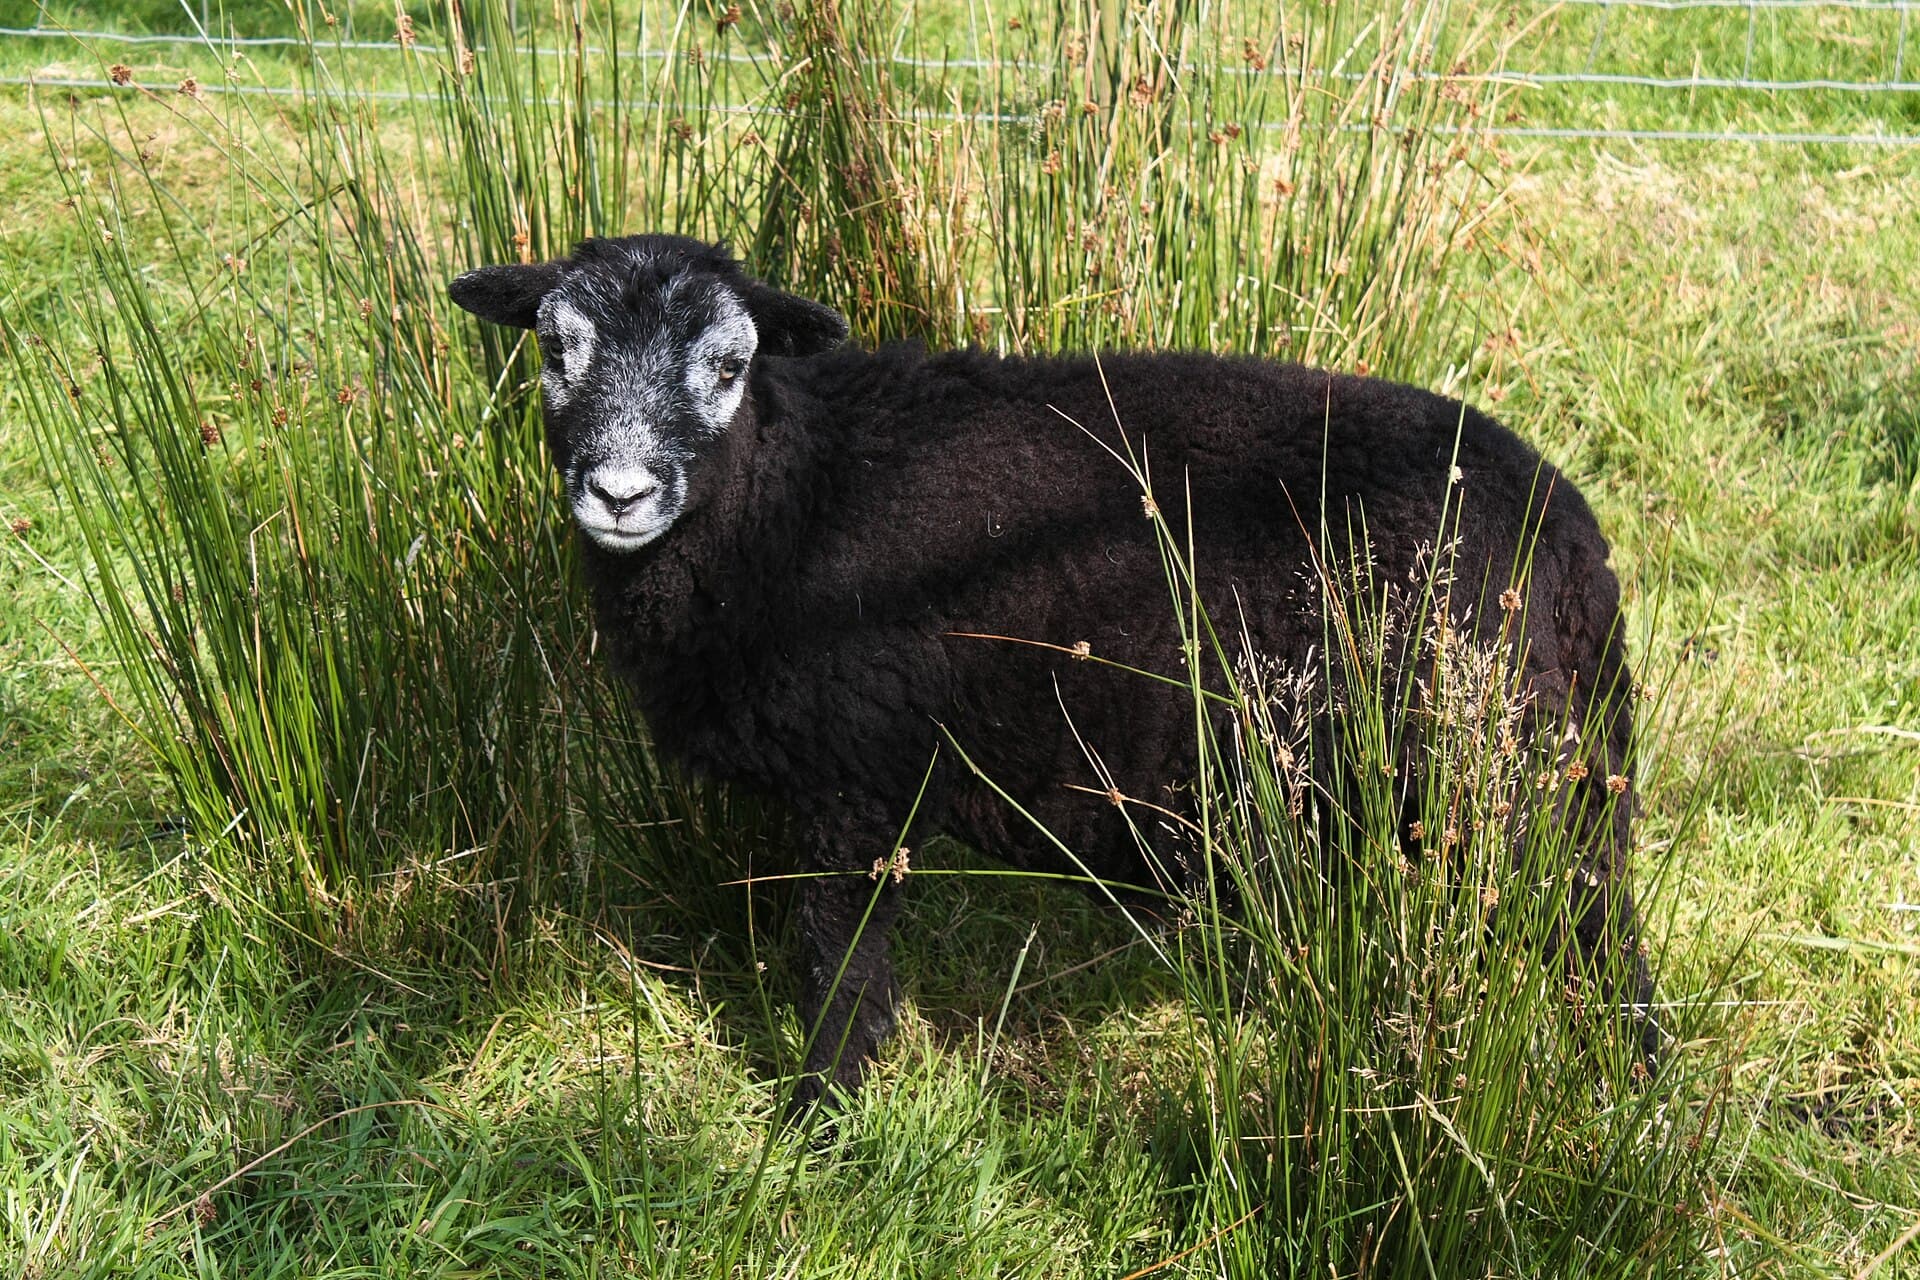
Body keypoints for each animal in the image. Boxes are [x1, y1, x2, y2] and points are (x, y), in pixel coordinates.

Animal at [448, 233, 1658, 1110]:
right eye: (554, 353)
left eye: (731, 365)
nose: (618, 494)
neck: (796, 498)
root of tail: (1575, 536)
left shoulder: (859, 772)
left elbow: (839, 965)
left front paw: (818, 1122)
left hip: (1506, 769)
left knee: (1596, 934)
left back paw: (1630, 1096)